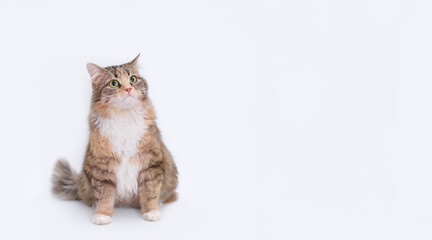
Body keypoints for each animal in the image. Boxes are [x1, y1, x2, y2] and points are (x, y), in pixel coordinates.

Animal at [51, 54, 179, 225]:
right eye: (114, 83)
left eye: (132, 79)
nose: (129, 89)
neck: (124, 115)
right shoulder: (103, 166)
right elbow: (104, 196)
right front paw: (102, 215)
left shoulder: (151, 162)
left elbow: (150, 192)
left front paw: (151, 212)